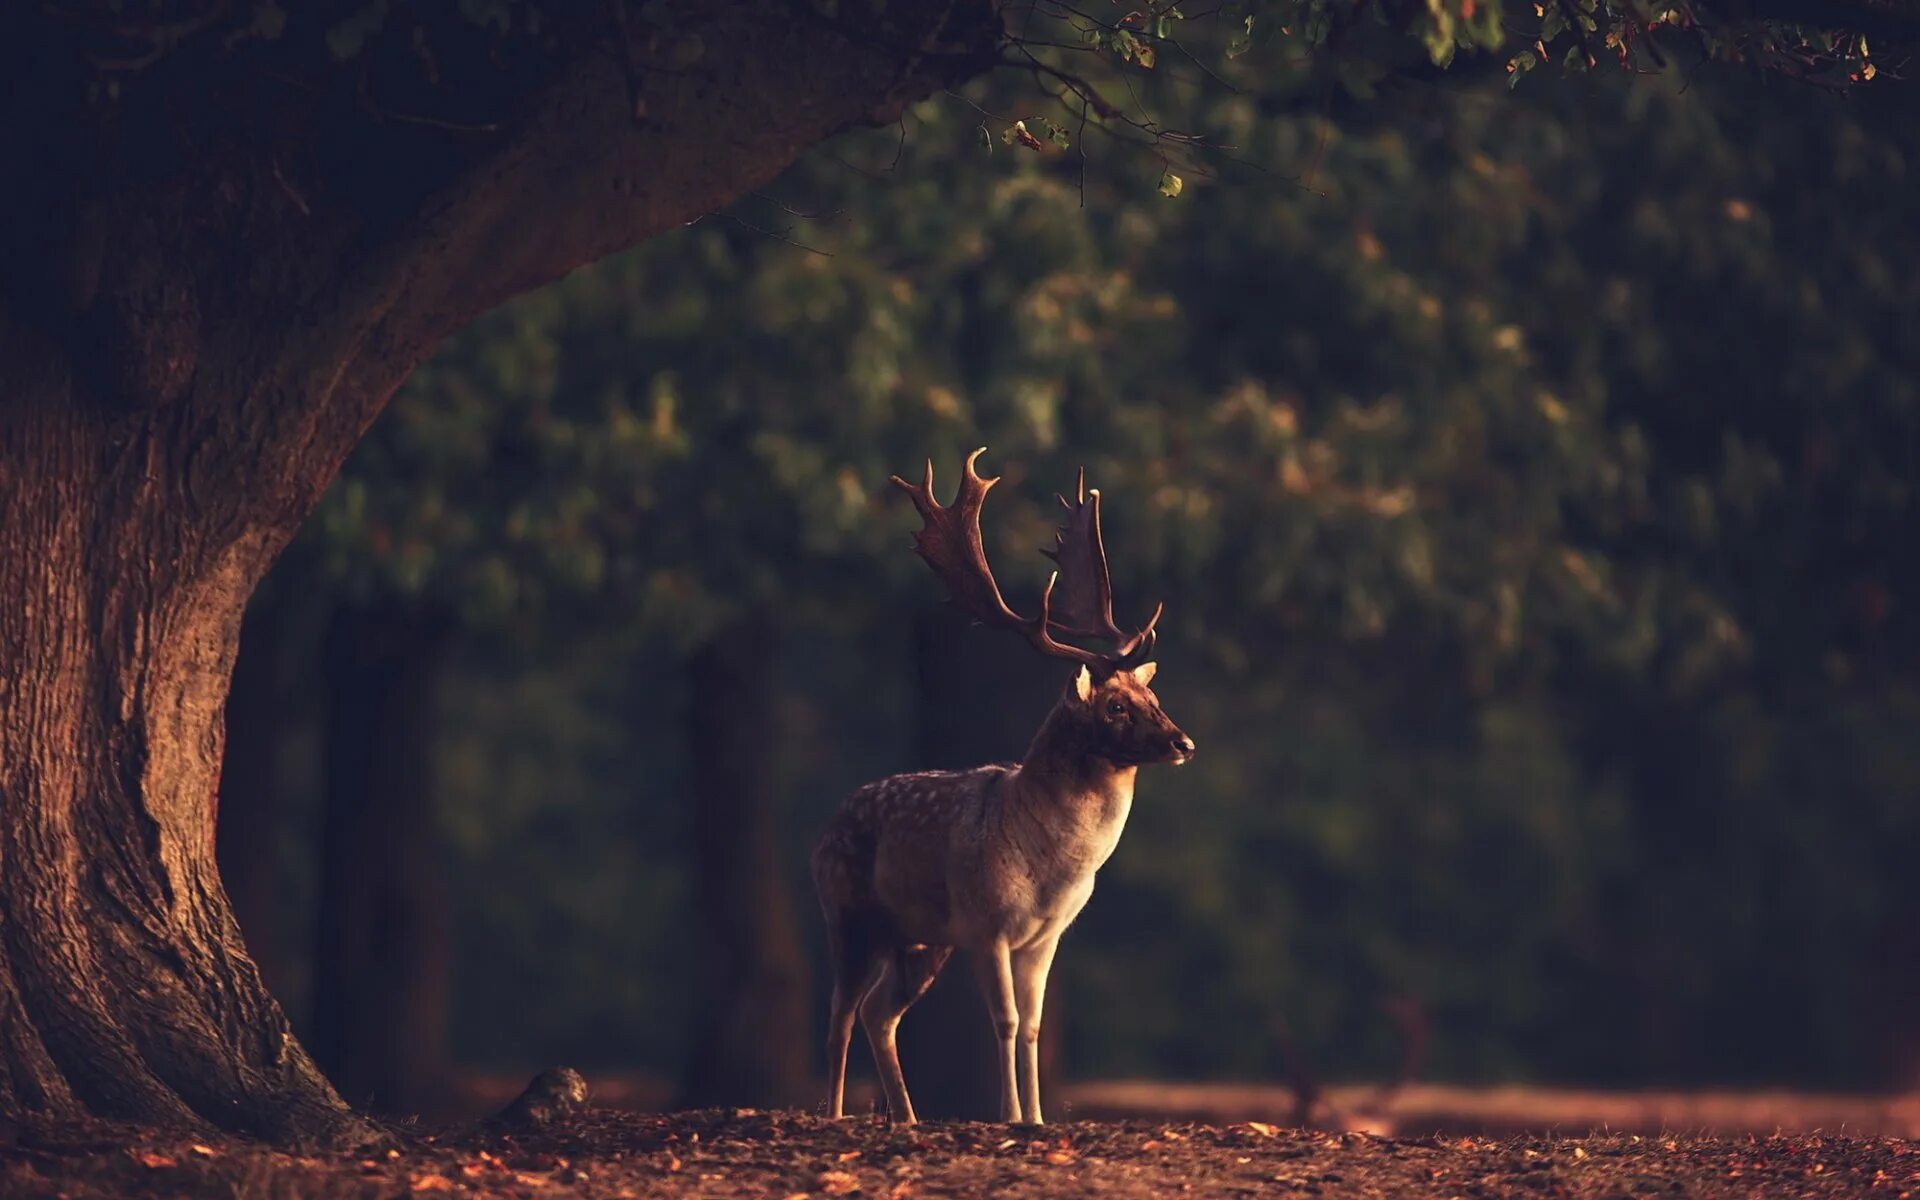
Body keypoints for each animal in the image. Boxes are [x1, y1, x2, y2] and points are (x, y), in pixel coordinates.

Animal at [814, 449, 1198, 1121]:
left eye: (1153, 696)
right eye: (1116, 707)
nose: (1184, 743)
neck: (1053, 871)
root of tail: (824, 831)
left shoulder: (1046, 937)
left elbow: (1036, 1026)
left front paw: (1039, 1118)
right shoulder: (987, 923)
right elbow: (1007, 1021)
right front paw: (1011, 1116)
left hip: (919, 941)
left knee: (879, 1014)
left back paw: (908, 1118)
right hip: (849, 914)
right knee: (840, 1014)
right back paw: (835, 1115)